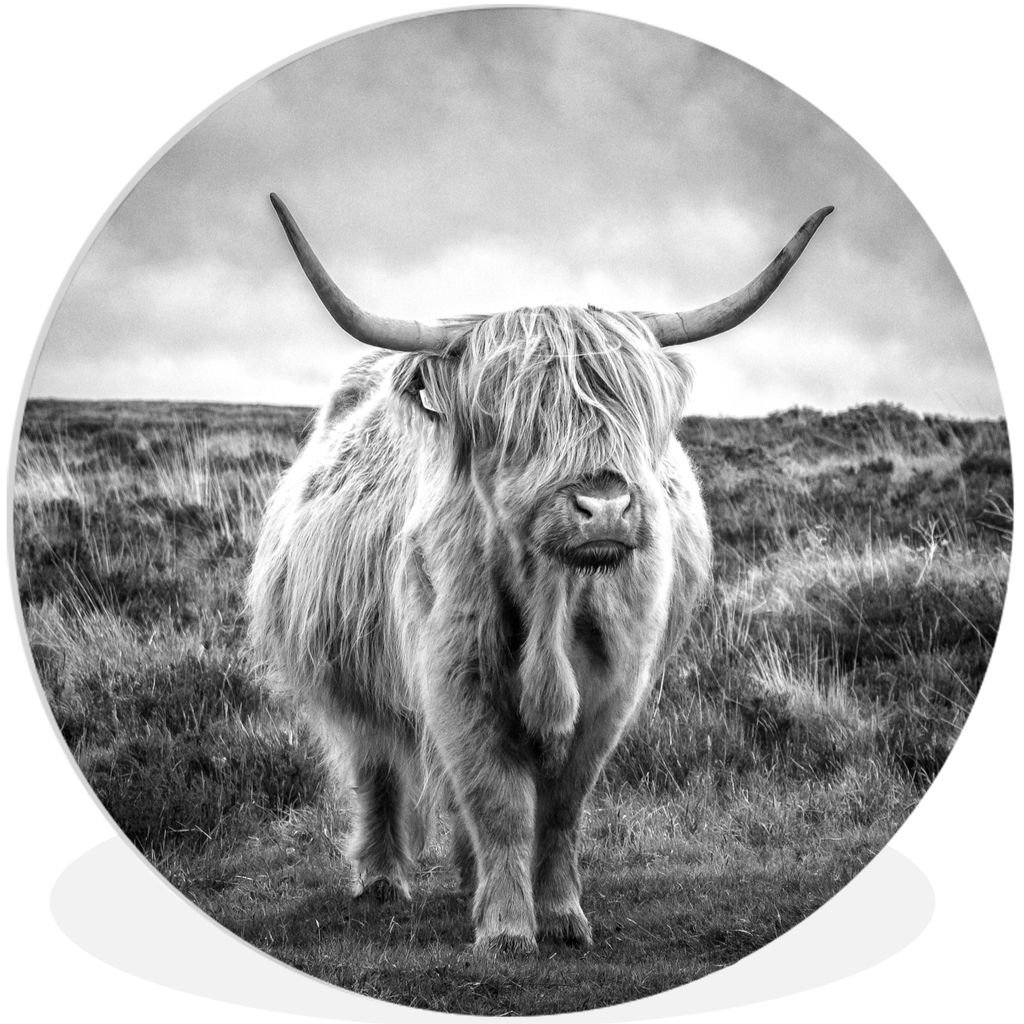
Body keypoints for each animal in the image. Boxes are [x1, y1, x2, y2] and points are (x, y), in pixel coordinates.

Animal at [247, 195, 832, 957]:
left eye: (632, 410)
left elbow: (561, 807)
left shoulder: (613, 688)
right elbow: (496, 799)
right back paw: (381, 879)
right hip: (350, 674)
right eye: (514, 419)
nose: (604, 505)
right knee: (376, 766)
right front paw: (505, 929)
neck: (553, 599)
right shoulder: (455, 676)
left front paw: (559, 915)